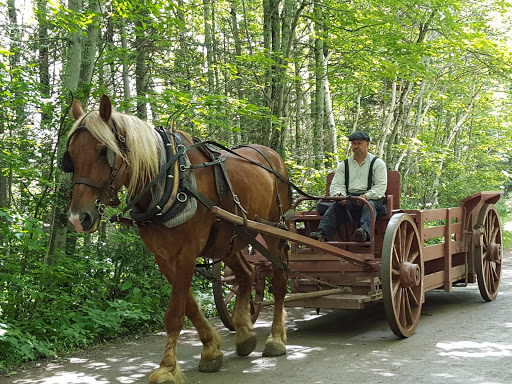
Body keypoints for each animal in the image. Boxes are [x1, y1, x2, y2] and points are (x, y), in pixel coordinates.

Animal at [62, 94, 290, 382]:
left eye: (104, 151)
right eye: (71, 155)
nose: (77, 219)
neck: (170, 180)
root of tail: (273, 155)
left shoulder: (187, 252)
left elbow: (174, 313)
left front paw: (167, 368)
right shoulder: (164, 256)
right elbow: (189, 306)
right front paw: (211, 350)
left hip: (274, 230)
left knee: (280, 280)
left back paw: (276, 338)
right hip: (229, 238)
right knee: (247, 274)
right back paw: (244, 333)